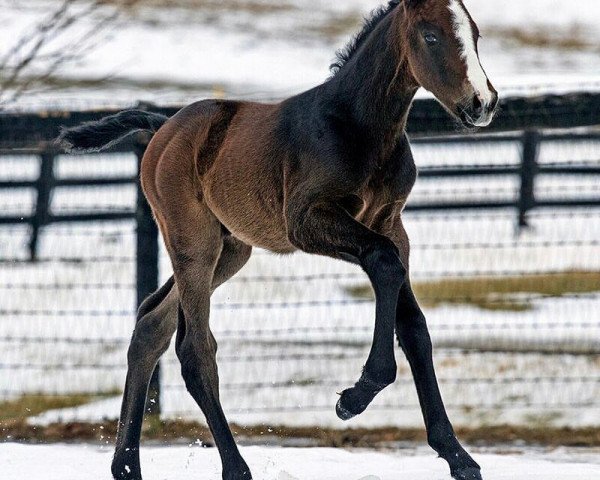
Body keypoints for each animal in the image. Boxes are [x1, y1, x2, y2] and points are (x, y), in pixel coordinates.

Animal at [61, 1, 500, 478]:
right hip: (193, 243)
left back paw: (126, 466)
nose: (482, 103)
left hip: (230, 250)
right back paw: (236, 468)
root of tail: (162, 129)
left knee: (150, 325)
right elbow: (384, 266)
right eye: (431, 36)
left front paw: (457, 456)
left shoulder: (390, 224)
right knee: (194, 350)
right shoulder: (307, 222)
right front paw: (354, 398)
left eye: (476, 34)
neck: (358, 127)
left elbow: (415, 327)